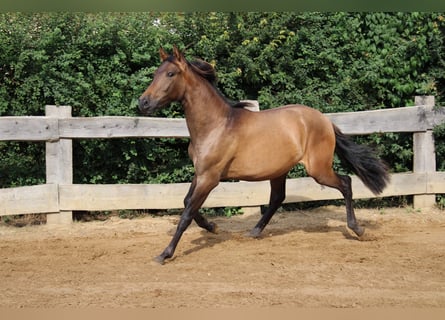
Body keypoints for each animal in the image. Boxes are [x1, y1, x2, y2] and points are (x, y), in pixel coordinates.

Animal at [136, 45, 388, 264]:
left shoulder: (210, 177)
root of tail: (325, 120)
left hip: (318, 169)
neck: (216, 125)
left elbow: (187, 214)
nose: (143, 102)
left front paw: (164, 254)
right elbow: (187, 202)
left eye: (170, 73)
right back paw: (254, 231)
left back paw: (357, 229)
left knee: (345, 183)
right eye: (155, 73)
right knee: (277, 198)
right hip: (280, 170)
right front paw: (213, 227)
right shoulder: (200, 173)